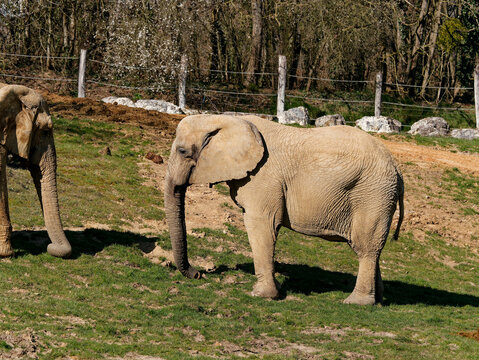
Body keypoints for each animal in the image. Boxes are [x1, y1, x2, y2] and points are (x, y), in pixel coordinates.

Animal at [165, 114, 404, 304]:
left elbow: (261, 224)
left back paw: (356, 302)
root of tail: (397, 170)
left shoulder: (263, 177)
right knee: (370, 247)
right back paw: (378, 301)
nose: (199, 274)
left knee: (365, 247)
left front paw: (261, 296)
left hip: (373, 195)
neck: (226, 119)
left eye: (183, 151)